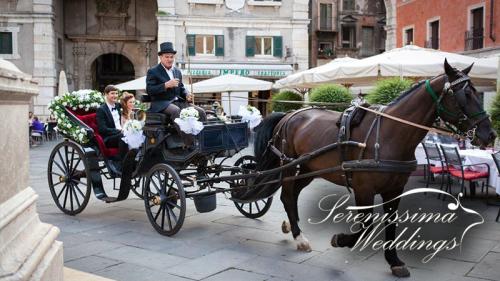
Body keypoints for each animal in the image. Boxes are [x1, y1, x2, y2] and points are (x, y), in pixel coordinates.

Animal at [244, 60, 494, 276]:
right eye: (466, 94)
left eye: (477, 92)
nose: (489, 134)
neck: (389, 133)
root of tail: (289, 115)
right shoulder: (363, 189)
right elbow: (366, 225)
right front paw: (340, 239)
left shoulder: (395, 190)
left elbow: (391, 223)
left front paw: (394, 261)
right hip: (288, 166)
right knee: (287, 195)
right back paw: (299, 237)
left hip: (308, 168)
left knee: (293, 195)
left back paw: (290, 225)